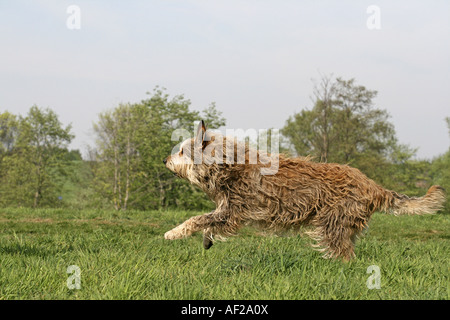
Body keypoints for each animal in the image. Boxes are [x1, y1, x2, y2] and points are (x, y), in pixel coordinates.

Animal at [163, 120, 446, 260]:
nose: (165, 160)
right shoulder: (228, 212)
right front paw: (206, 240)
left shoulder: (232, 210)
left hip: (332, 223)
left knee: (345, 255)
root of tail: (374, 186)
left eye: (181, 151)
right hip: (345, 225)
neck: (228, 164)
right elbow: (207, 224)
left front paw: (173, 233)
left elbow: (197, 219)